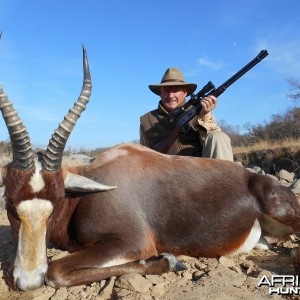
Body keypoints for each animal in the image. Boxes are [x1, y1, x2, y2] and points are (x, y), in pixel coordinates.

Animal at [0, 47, 300, 290]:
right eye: (9, 202)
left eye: (56, 200)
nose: (27, 281)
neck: (84, 195)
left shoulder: (132, 242)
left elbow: (56, 271)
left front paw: (169, 261)